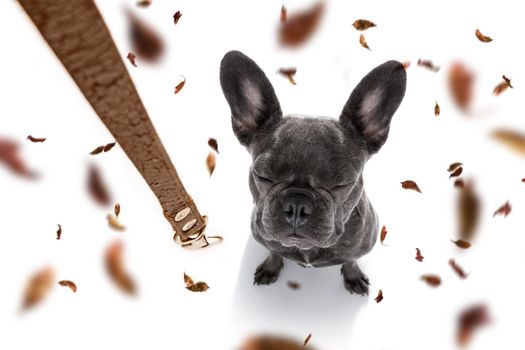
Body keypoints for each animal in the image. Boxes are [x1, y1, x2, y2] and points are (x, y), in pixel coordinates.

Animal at [217, 50, 406, 296]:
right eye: (262, 176)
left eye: (342, 184)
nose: (297, 204)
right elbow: (274, 252)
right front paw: (271, 267)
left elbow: (351, 261)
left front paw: (353, 276)